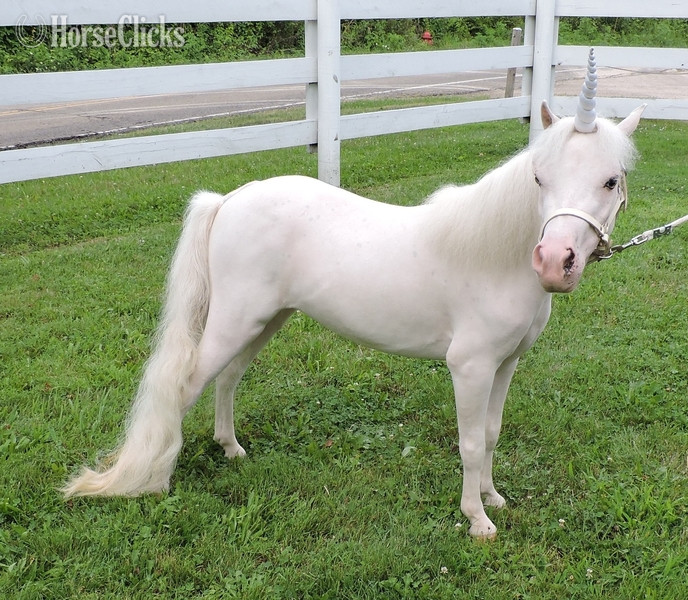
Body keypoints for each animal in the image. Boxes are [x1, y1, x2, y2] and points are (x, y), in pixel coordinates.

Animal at [63, 55, 645, 539]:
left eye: (610, 181)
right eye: (539, 177)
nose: (554, 263)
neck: (490, 256)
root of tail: (228, 199)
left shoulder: (506, 364)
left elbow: (492, 433)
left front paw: (493, 498)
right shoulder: (471, 367)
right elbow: (470, 441)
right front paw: (477, 521)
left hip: (265, 320)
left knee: (227, 379)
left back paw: (232, 450)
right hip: (236, 321)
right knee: (187, 386)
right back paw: (158, 479)